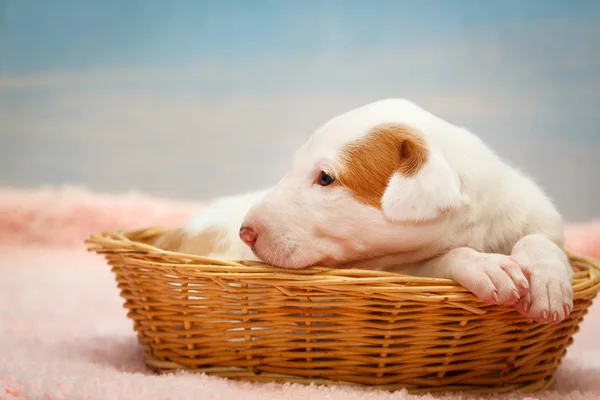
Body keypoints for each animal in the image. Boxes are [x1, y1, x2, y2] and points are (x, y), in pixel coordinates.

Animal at [157, 97, 576, 324]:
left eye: (326, 177)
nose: (247, 231)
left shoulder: (532, 215)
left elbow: (540, 240)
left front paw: (549, 289)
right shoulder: (394, 270)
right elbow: (441, 259)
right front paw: (490, 267)